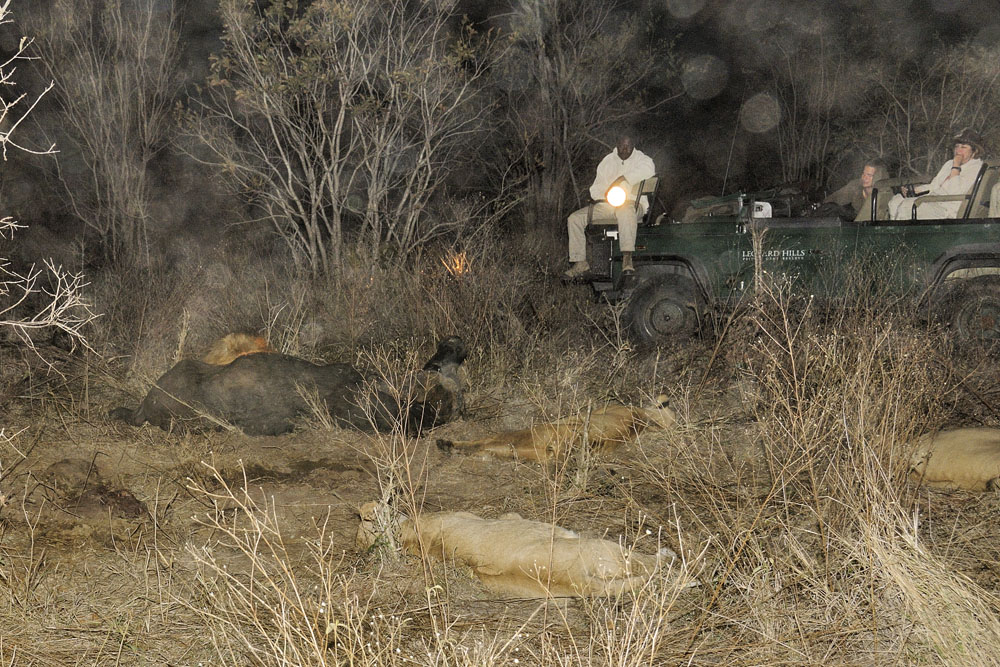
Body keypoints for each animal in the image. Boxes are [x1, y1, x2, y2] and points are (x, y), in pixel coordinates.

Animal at [356, 501, 687, 598]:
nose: (388, 502)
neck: (409, 537)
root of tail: (576, 580)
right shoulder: (508, 517)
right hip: (606, 547)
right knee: (651, 565)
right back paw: (675, 563)